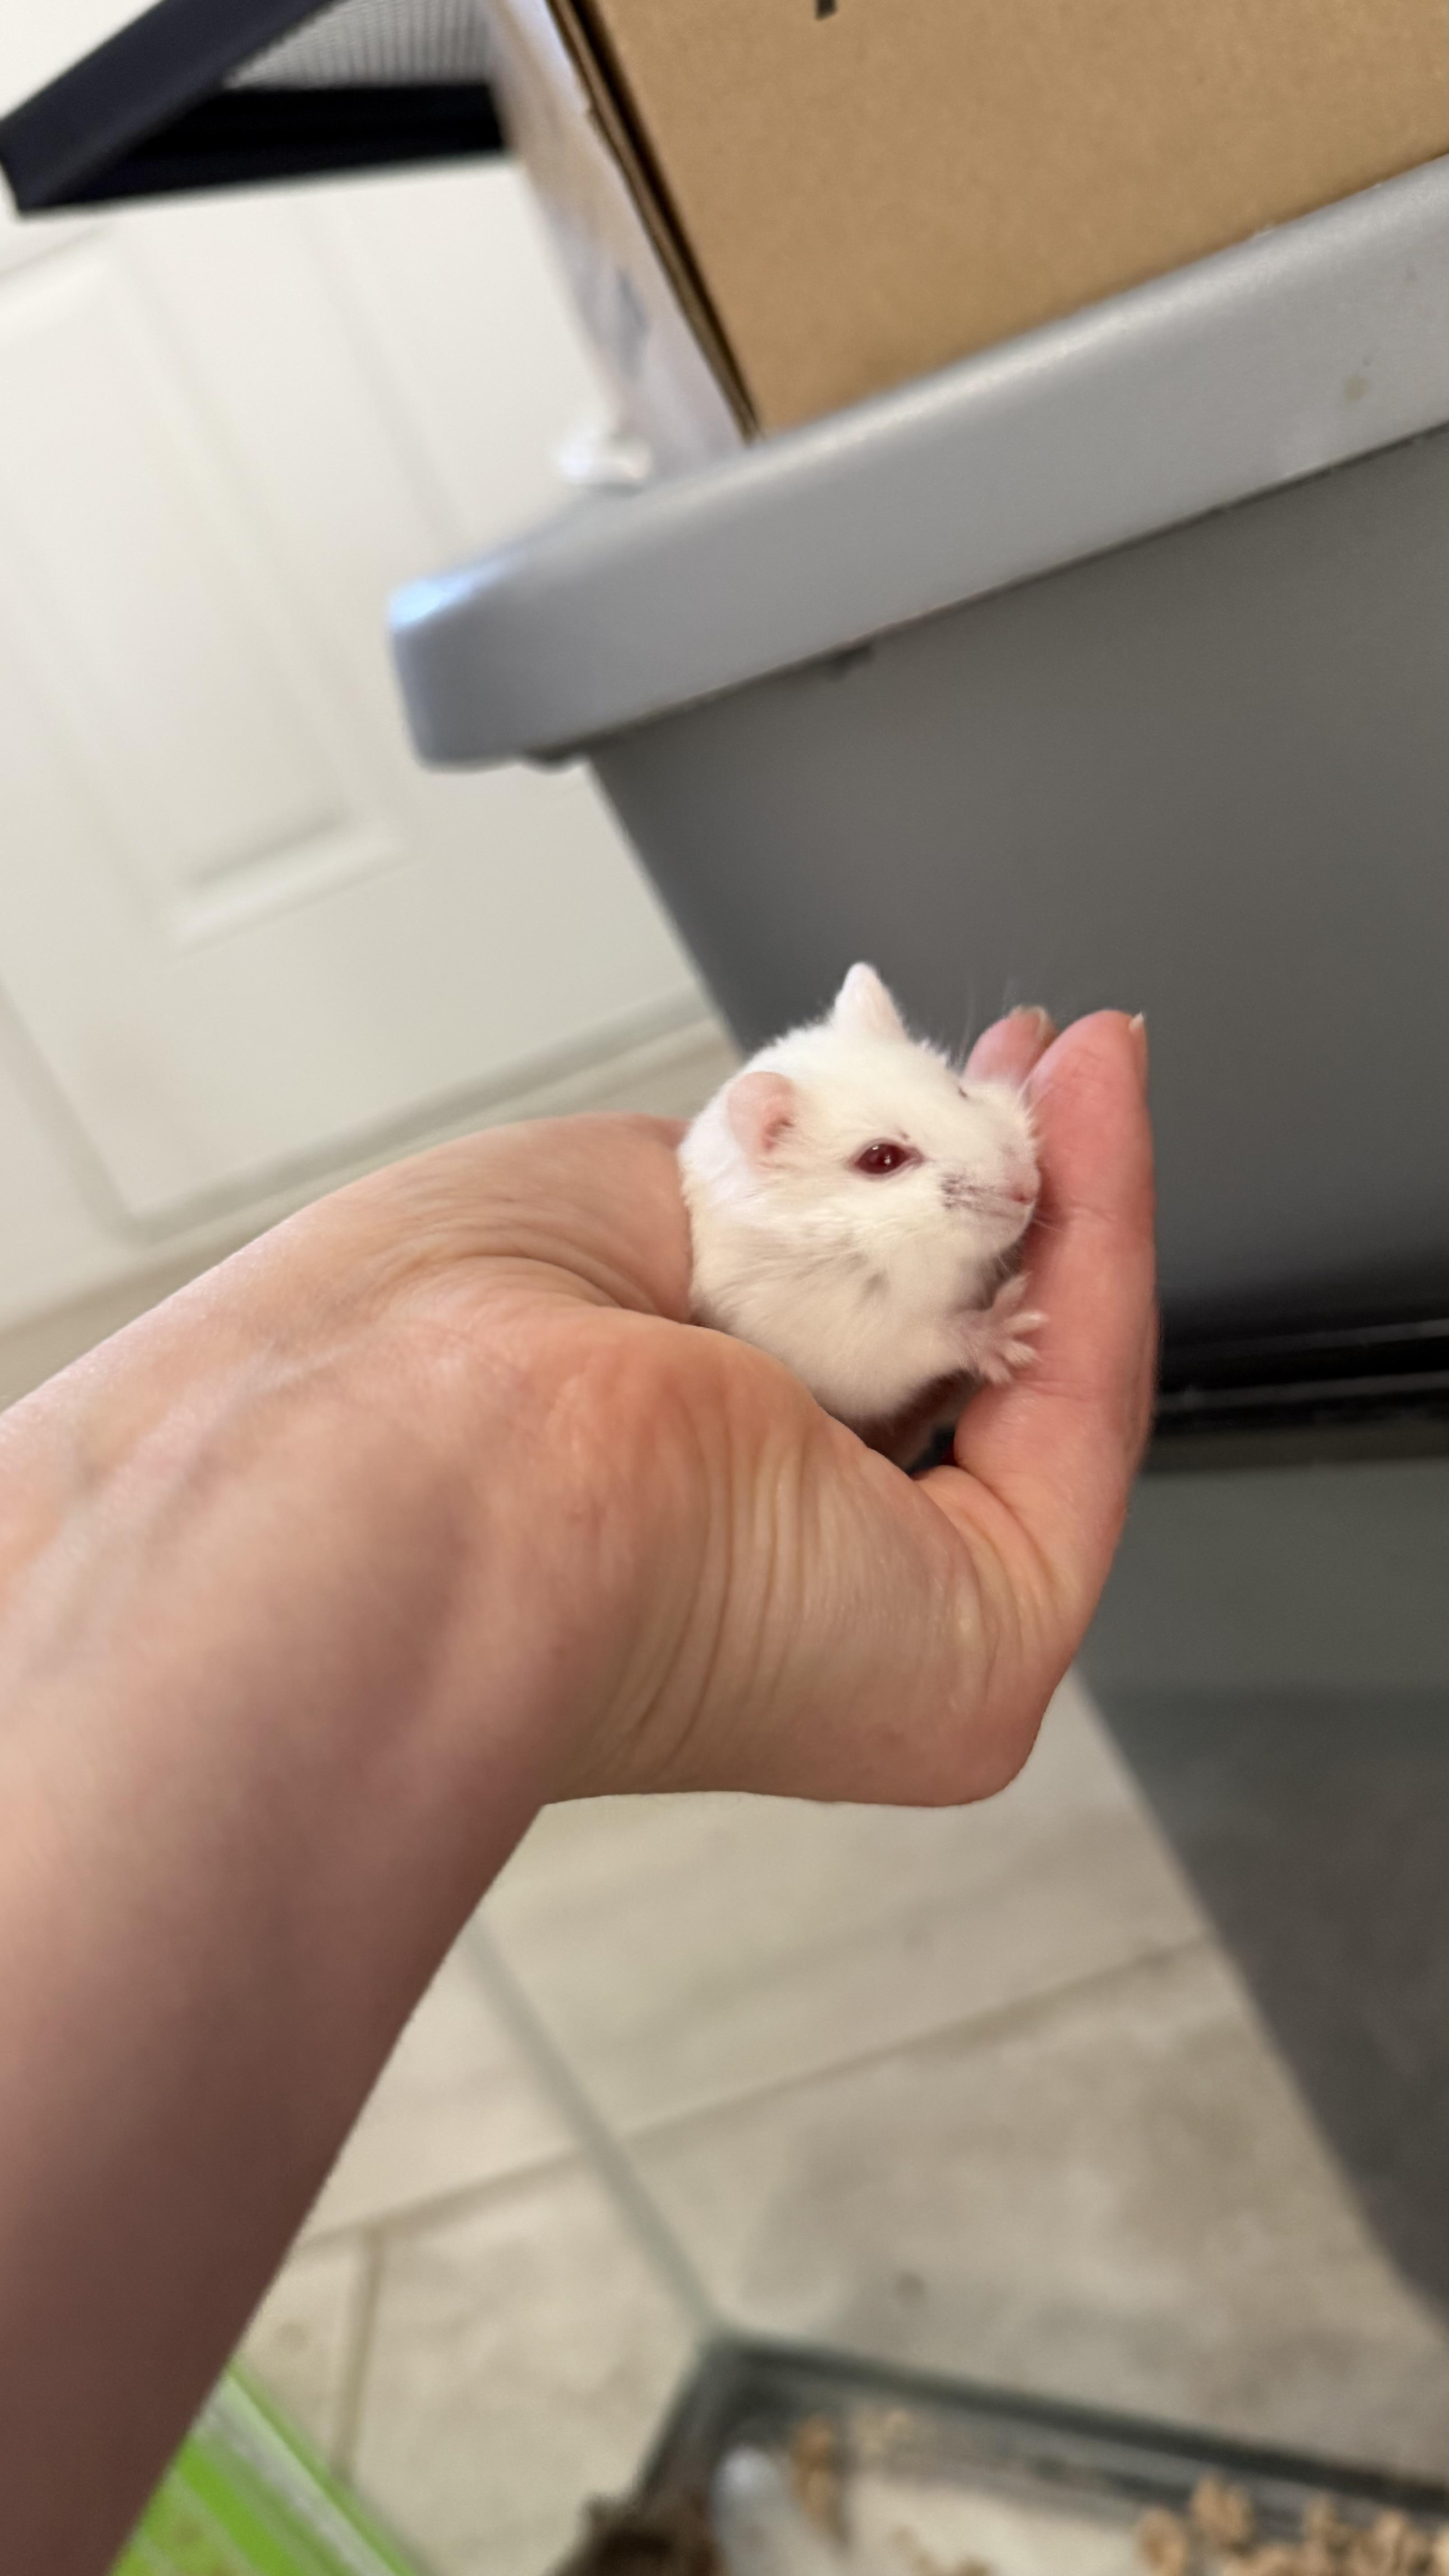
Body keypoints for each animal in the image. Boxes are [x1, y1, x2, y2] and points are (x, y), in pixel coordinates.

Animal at [680, 963, 1041, 1443]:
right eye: (881, 1159)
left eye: (960, 1091)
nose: (1031, 1187)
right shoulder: (843, 1344)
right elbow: (930, 1341)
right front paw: (1009, 1327)